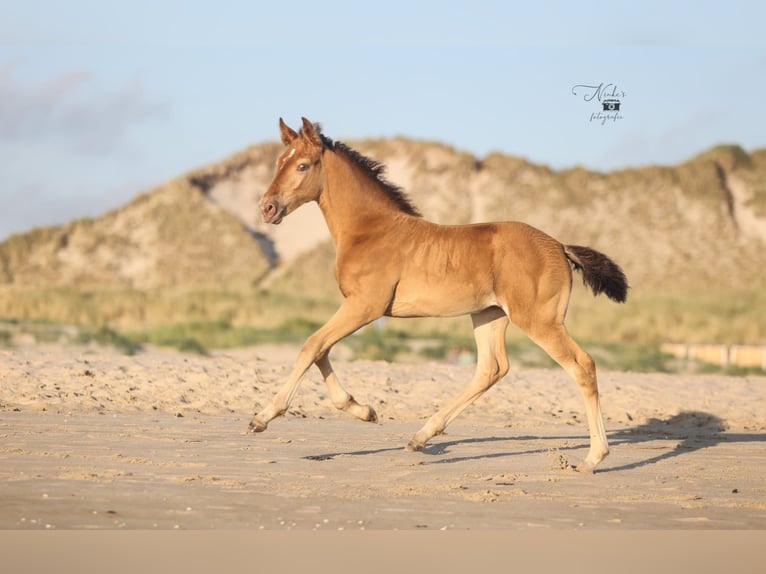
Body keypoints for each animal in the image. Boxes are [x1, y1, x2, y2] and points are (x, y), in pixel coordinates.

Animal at [251, 117, 628, 473]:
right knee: (491, 369)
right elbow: (321, 352)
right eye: (279, 161)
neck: (369, 229)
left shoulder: (365, 306)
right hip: (489, 315)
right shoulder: (357, 308)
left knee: (582, 365)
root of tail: (559, 246)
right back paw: (421, 437)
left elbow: (312, 346)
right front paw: (365, 410)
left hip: (538, 320)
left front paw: (263, 417)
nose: (267, 207)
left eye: (302, 165)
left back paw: (593, 458)